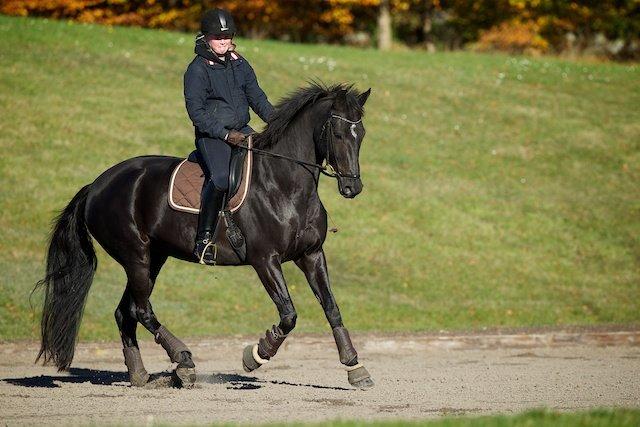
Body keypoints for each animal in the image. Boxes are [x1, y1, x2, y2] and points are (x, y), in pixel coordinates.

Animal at [33, 83, 376, 392]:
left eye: (361, 134)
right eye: (338, 134)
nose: (352, 187)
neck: (285, 185)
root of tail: (96, 185)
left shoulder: (312, 254)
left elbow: (331, 308)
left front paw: (355, 368)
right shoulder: (265, 260)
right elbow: (289, 315)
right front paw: (255, 355)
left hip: (154, 257)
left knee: (125, 312)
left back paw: (141, 375)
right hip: (136, 256)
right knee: (141, 310)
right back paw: (183, 362)